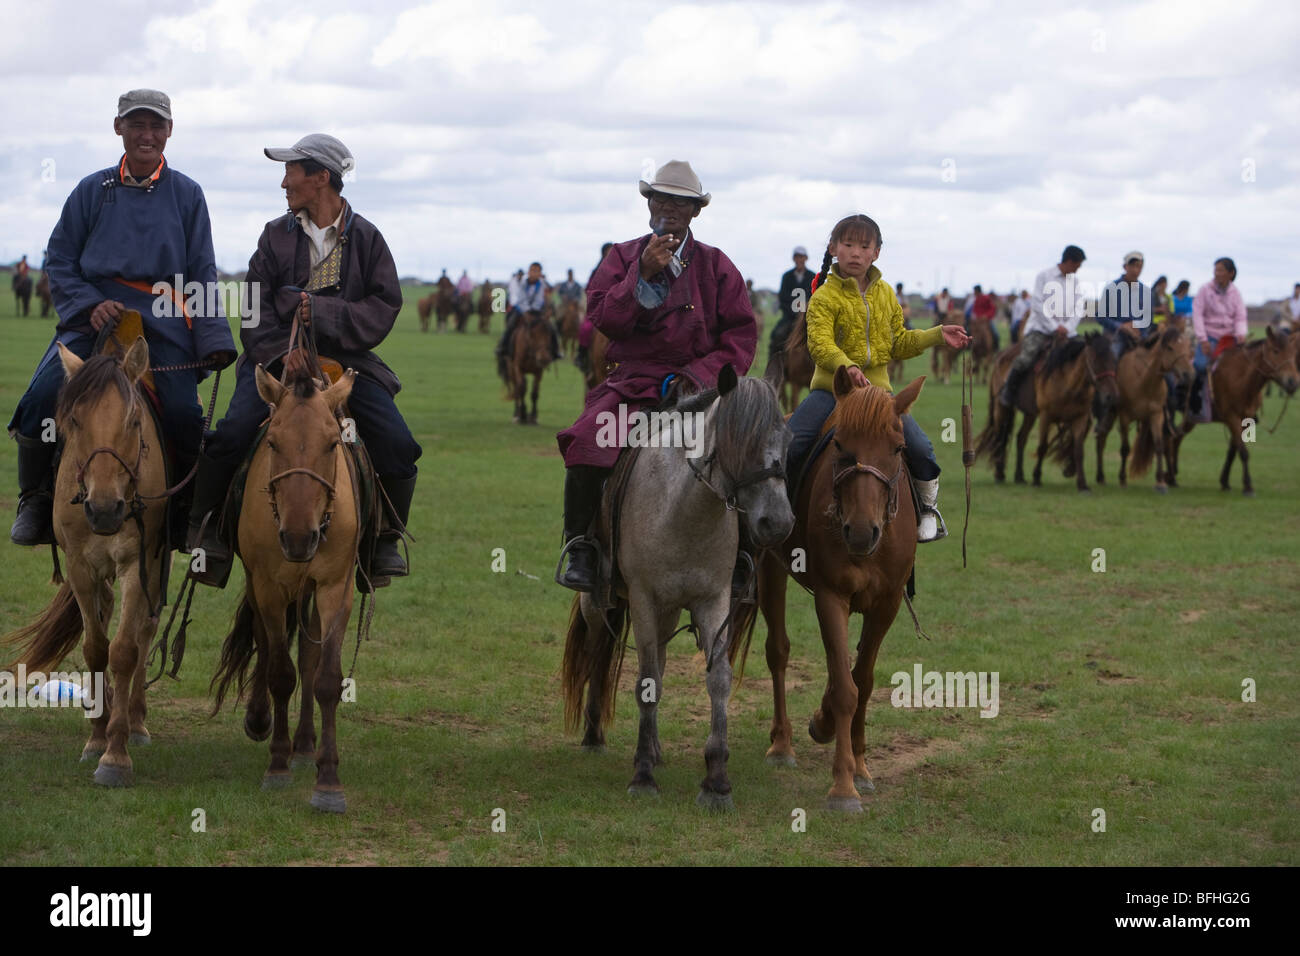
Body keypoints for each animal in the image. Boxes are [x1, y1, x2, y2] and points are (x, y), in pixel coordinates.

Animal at [1, 335, 169, 785]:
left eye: (133, 420)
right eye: (74, 421)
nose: (105, 509)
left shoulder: (136, 564)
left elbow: (125, 649)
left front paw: (115, 754)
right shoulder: (80, 567)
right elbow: (96, 648)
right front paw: (97, 736)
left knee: (145, 628)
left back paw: (135, 719)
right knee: (105, 612)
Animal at [210, 361, 361, 811]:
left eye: (332, 444)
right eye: (274, 442)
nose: (297, 538)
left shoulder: (335, 587)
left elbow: (326, 677)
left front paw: (328, 779)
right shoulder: (268, 586)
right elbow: (279, 671)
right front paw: (276, 765)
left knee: (308, 657)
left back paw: (306, 745)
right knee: (265, 642)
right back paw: (261, 721)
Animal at [559, 364, 790, 806]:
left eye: (786, 441)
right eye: (737, 442)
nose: (779, 523)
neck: (684, 509)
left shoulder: (715, 601)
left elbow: (717, 679)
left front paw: (716, 779)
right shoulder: (645, 600)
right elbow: (646, 682)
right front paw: (643, 776)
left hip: (665, 612)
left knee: (659, 663)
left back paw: (655, 748)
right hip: (598, 602)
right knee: (598, 651)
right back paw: (596, 735)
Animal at [748, 369, 930, 811]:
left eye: (898, 448)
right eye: (841, 446)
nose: (862, 532)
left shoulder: (886, 605)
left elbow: (861, 681)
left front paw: (860, 767)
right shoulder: (832, 596)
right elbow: (847, 688)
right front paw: (844, 786)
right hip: (770, 568)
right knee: (778, 651)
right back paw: (782, 744)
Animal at [1170, 327, 1300, 496]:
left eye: (1293, 353)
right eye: (1275, 351)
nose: (1293, 382)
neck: (1241, 379)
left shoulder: (1245, 420)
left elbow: (1233, 450)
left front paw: (1225, 482)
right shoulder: (1231, 417)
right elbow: (1243, 451)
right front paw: (1248, 486)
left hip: (1191, 418)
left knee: (1176, 438)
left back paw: (1172, 476)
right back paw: (1169, 477)